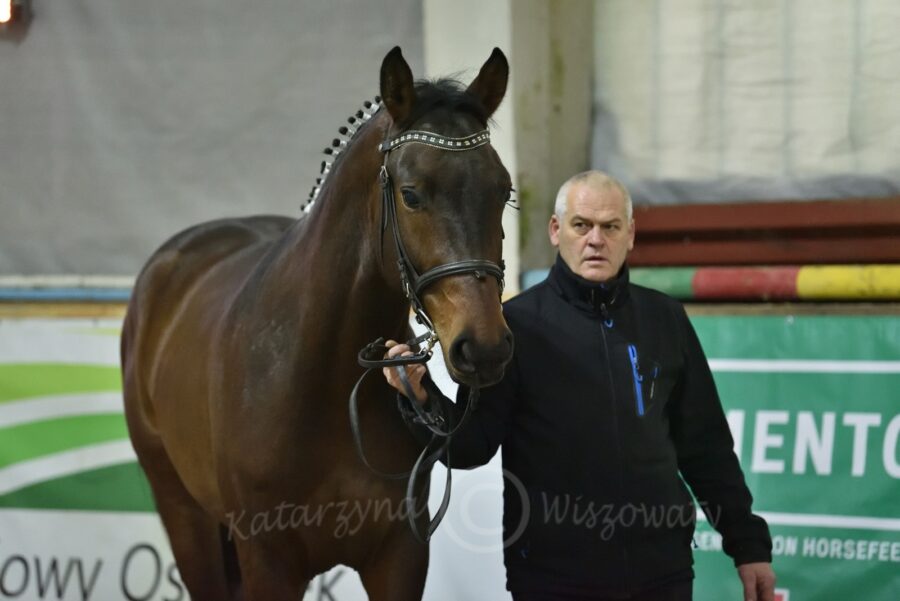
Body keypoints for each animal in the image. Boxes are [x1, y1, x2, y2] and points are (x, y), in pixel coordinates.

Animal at [121, 48, 512, 600]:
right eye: (411, 194)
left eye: (504, 191)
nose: (484, 349)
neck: (321, 378)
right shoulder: (269, 560)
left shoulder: (400, 555)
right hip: (184, 515)